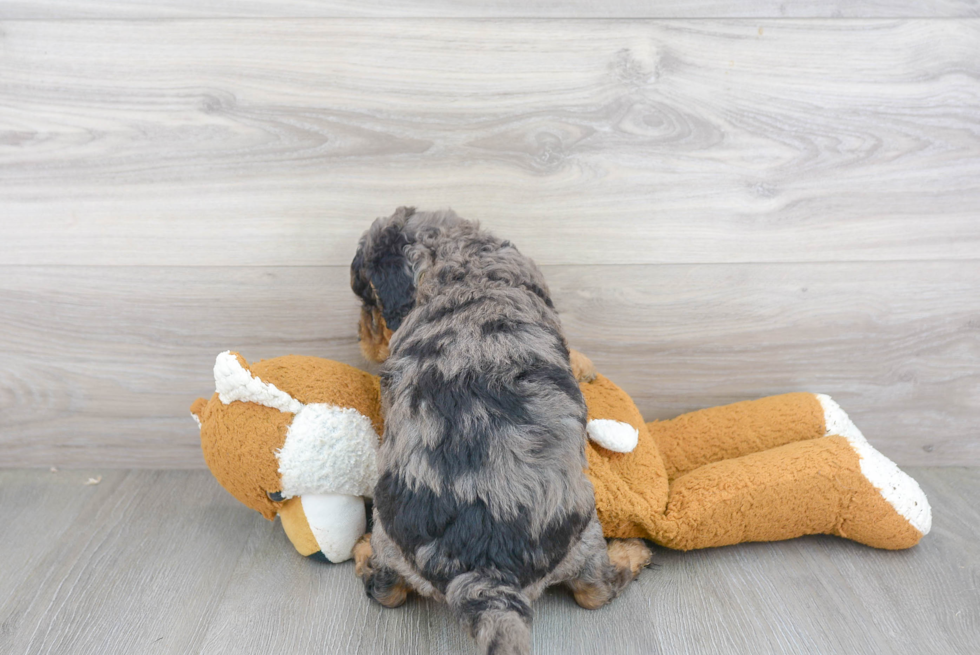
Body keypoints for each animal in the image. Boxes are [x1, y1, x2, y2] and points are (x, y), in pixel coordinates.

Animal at [350, 206, 652, 655]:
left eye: (369, 302)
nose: (360, 337)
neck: (463, 266)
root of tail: (486, 570)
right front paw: (583, 364)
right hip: (584, 532)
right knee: (595, 590)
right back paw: (632, 552)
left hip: (393, 537)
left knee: (386, 589)